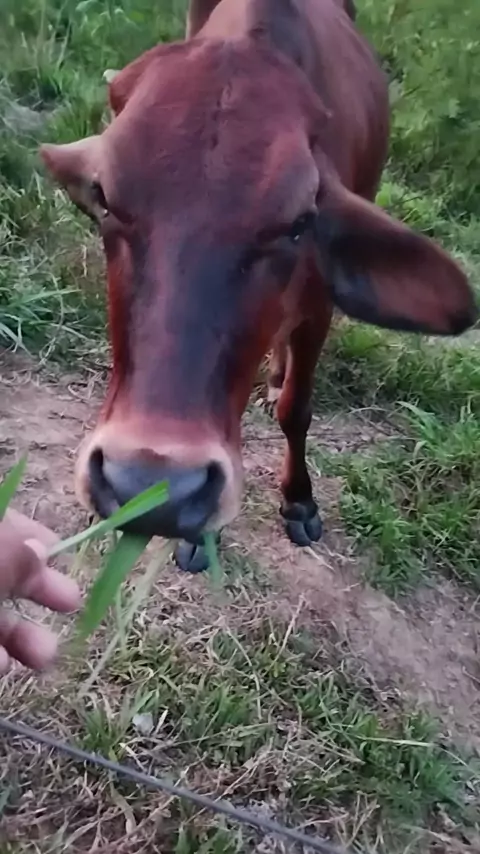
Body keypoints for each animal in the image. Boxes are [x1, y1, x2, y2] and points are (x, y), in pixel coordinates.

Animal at [41, 0, 476, 572]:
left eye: (298, 223)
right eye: (104, 198)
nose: (154, 487)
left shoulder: (318, 309)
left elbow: (297, 410)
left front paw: (299, 499)